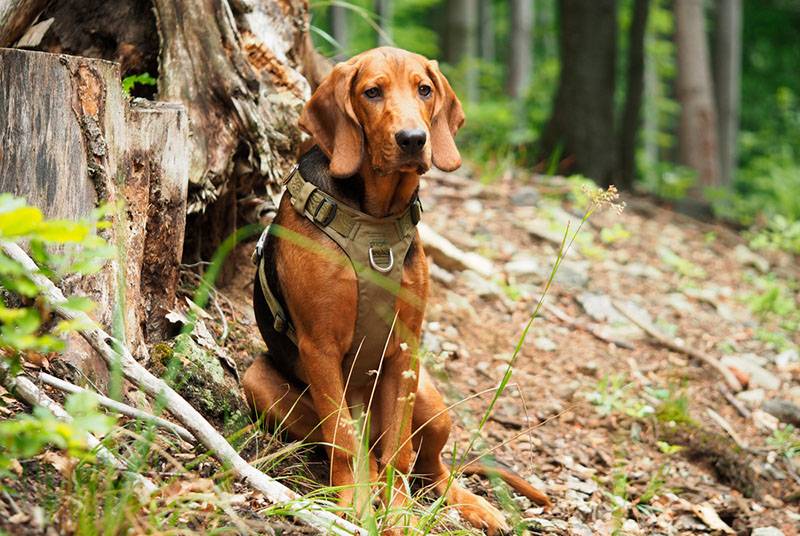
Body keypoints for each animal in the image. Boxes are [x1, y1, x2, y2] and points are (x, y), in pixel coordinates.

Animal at [241, 48, 548, 532]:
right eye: (372, 92)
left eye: (424, 90)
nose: (413, 139)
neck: (376, 217)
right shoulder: (319, 345)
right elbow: (343, 441)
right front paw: (354, 505)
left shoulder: (405, 345)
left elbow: (399, 452)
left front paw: (400, 515)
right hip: (259, 381)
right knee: (360, 447)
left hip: (431, 401)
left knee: (430, 467)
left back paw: (473, 505)